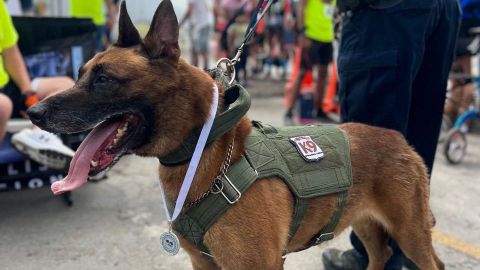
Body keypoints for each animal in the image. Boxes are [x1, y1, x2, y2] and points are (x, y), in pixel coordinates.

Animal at [28, 1, 444, 268]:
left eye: (103, 80)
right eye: (80, 73)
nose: (33, 112)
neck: (208, 149)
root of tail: (398, 139)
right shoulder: (205, 264)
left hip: (410, 232)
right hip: (369, 224)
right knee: (380, 256)